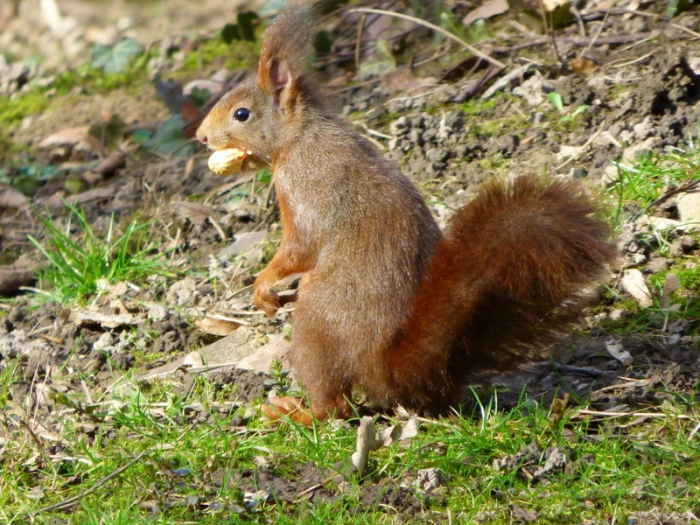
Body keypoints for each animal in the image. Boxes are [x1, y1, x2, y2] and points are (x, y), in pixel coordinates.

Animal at [196, 5, 617, 423]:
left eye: (242, 114)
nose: (201, 136)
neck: (299, 137)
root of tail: (385, 371)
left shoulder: (308, 187)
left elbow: (300, 247)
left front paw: (263, 284)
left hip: (316, 325)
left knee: (336, 407)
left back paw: (295, 412)